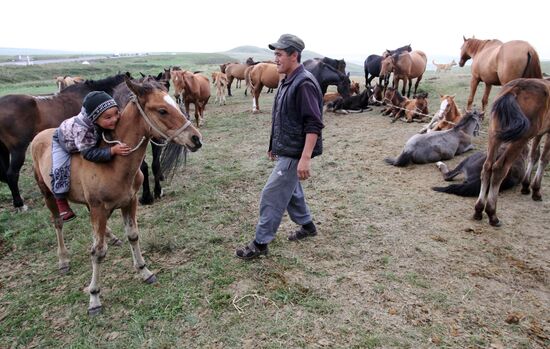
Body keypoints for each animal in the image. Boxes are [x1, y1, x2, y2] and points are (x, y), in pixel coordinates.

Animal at [30, 77, 203, 314]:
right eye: (162, 110)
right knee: (57, 222)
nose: (196, 138)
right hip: (47, 192)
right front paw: (94, 297)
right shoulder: (98, 208)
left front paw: (144, 271)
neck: (113, 165)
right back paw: (63, 259)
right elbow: (97, 251)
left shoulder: (129, 202)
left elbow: (133, 235)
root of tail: (40, 135)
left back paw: (111, 237)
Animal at [474, 77, 550, 226]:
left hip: (494, 134)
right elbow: (544, 158)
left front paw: (526, 186)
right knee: (499, 168)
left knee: (487, 166)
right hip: (520, 138)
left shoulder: (539, 133)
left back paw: (479, 209)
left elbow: (534, 155)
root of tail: (515, 89)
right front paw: (536, 190)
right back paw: (492, 214)